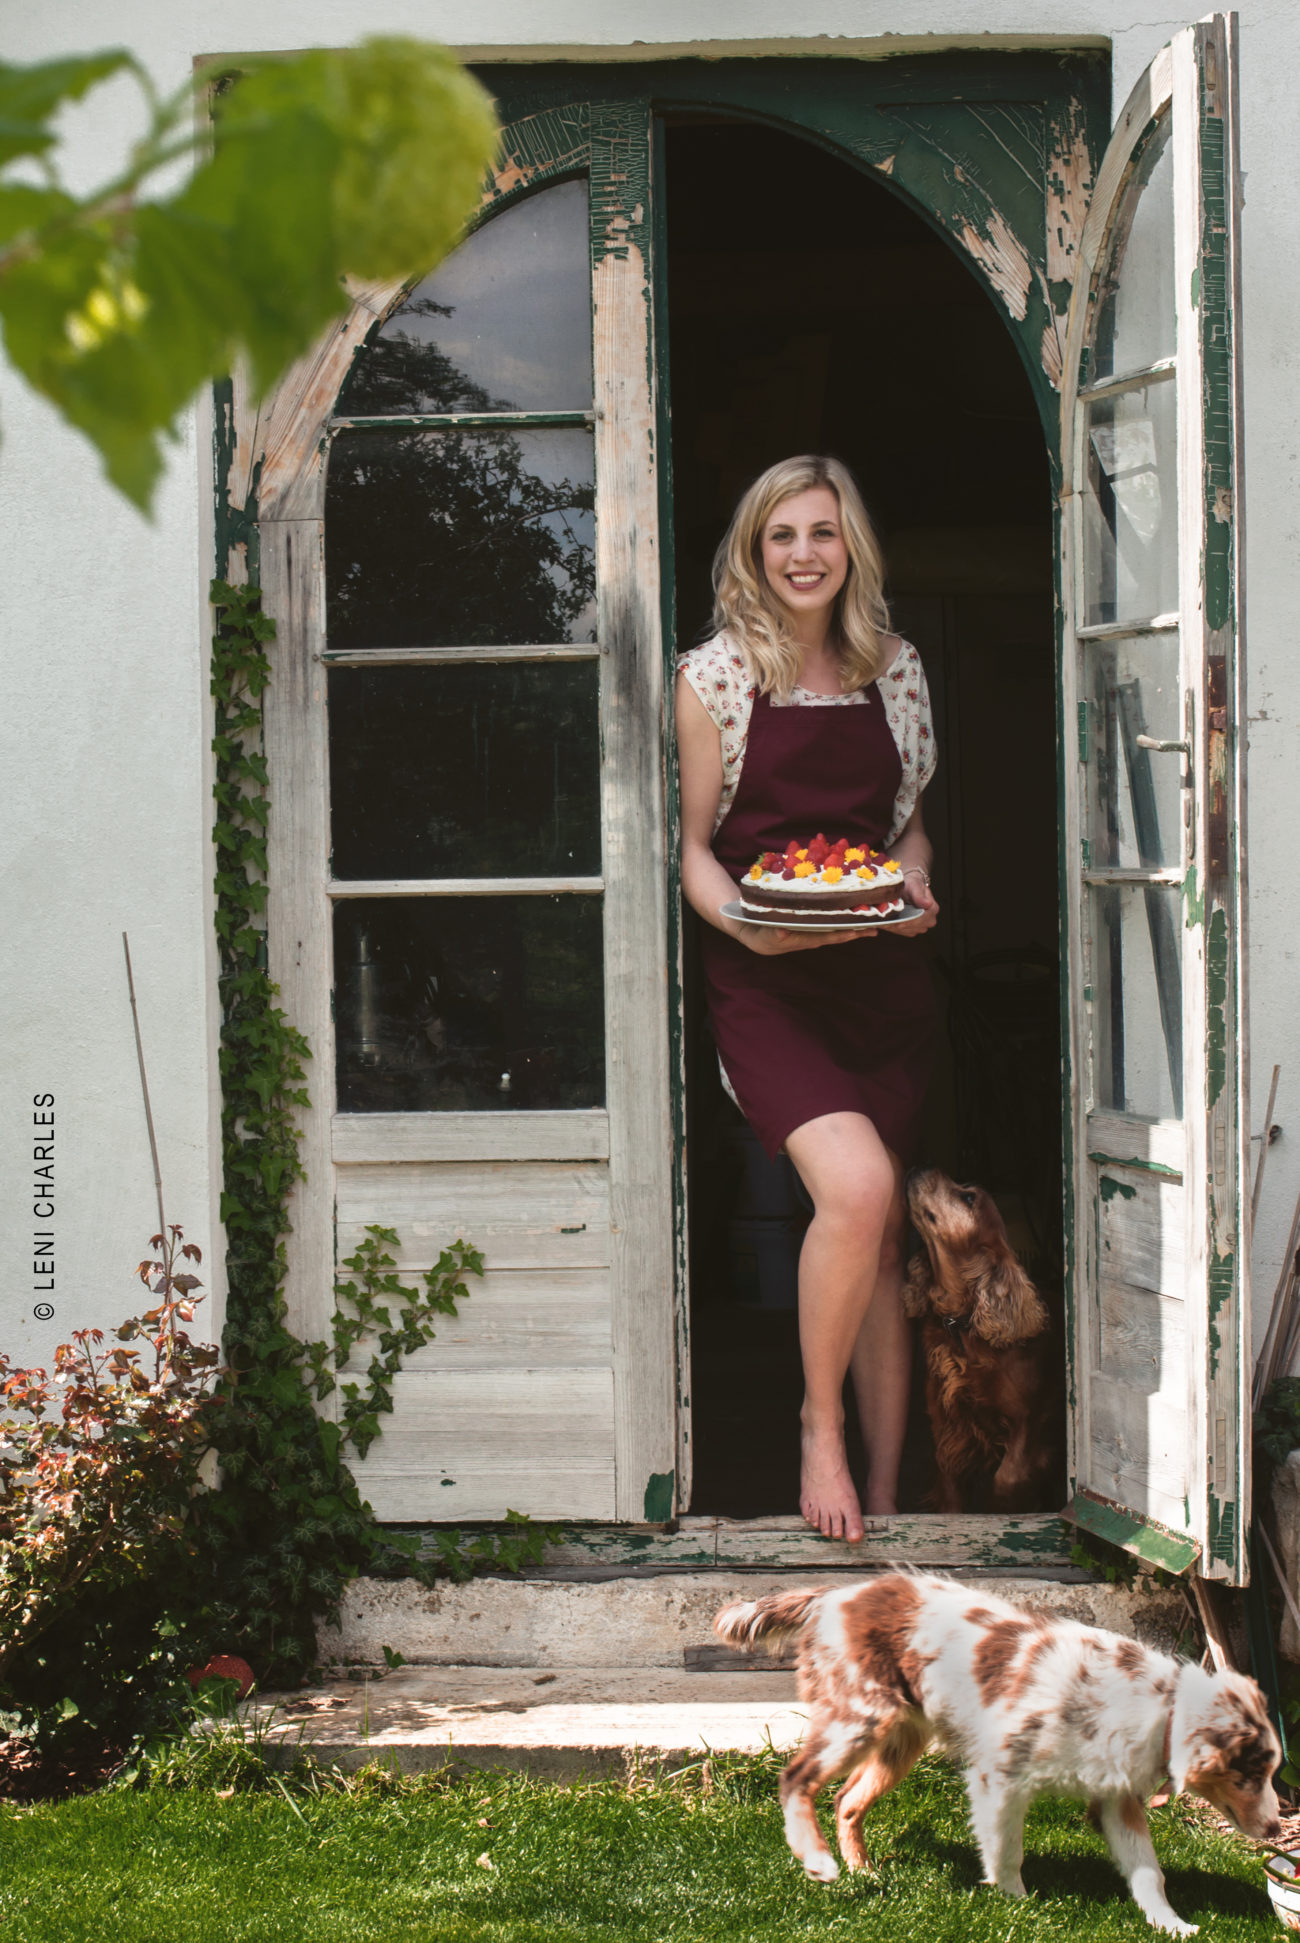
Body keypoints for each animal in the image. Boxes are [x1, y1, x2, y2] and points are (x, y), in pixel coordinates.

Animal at [715, 1572, 1281, 1936]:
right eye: (1250, 1775)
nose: (1278, 1829)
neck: (1159, 1709)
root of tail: (836, 1594)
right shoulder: (999, 1778)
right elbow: (1006, 1850)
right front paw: (1017, 1907)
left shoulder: (1114, 1798)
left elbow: (1148, 1872)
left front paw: (1171, 1924)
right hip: (859, 1717)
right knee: (796, 1778)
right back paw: (817, 1862)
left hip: (902, 1738)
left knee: (847, 1800)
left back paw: (864, 1872)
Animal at [902, 1167, 1062, 1511]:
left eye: (968, 1197)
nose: (921, 1168)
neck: (961, 1324)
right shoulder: (947, 1422)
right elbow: (950, 1484)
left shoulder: (1029, 1422)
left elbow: (1007, 1479)